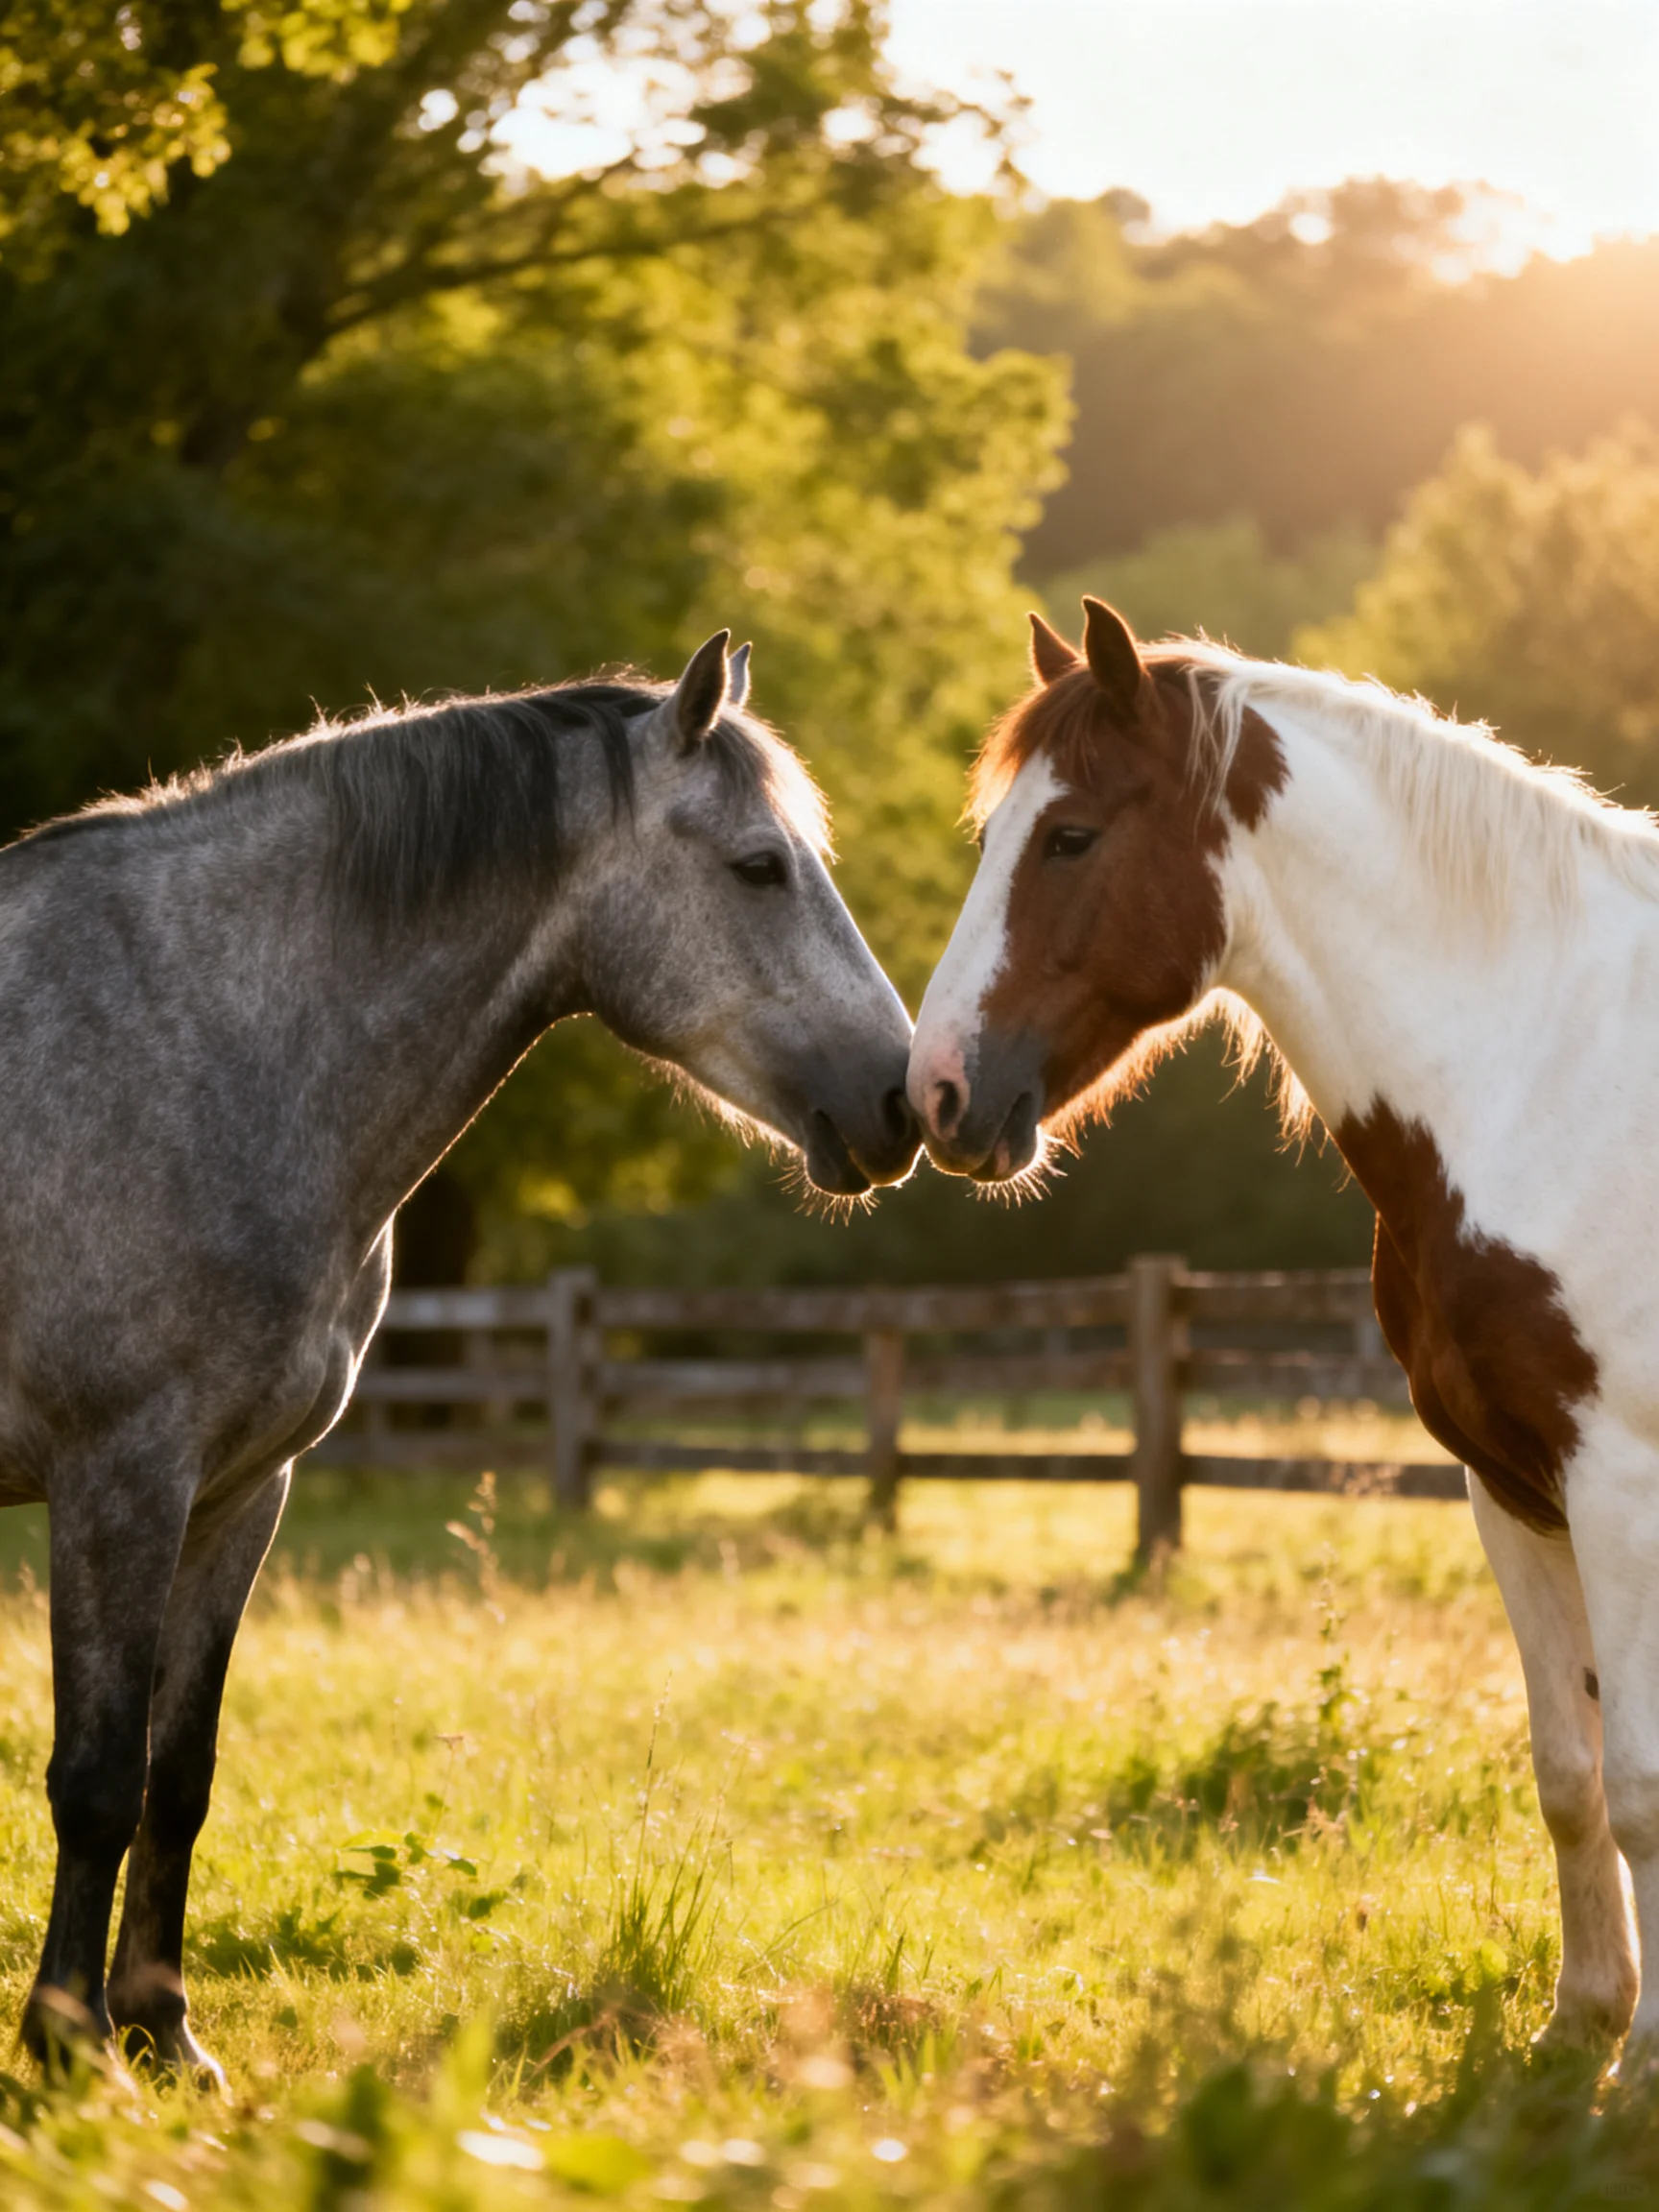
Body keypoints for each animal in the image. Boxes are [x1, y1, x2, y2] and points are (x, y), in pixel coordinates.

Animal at [0, 629, 918, 2084]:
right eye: (759, 866)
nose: (900, 1101)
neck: (196, 1044)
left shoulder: (238, 1493)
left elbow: (177, 1775)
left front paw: (164, 2030)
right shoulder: (117, 1481)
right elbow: (94, 1781)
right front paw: (70, 2045)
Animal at [908, 594, 1659, 2064]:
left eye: (1069, 834)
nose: (937, 1091)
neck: (1544, 1071)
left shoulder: (1621, 1486)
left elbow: (1645, 1784)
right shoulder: (1514, 1488)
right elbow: (1571, 1773)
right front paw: (1585, 2028)